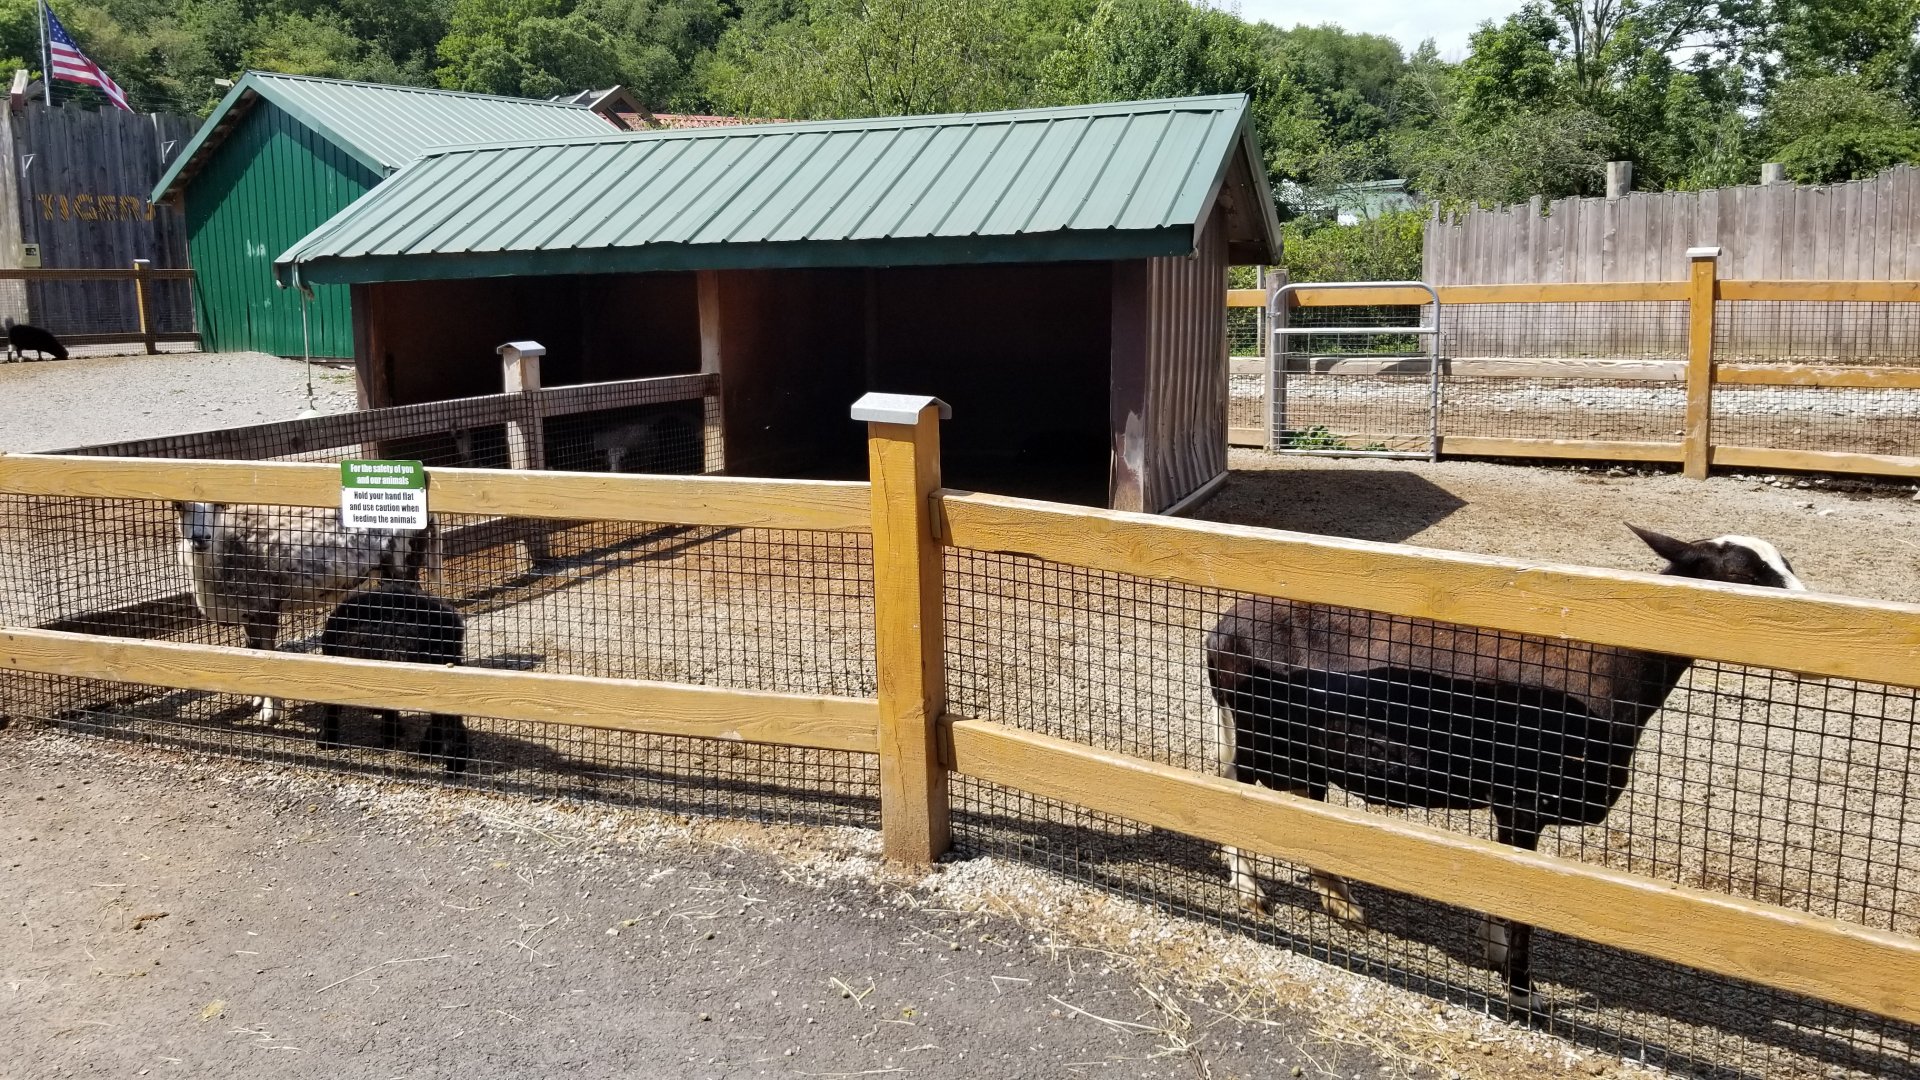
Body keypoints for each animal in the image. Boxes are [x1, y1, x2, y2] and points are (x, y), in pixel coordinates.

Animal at [174, 501, 441, 724]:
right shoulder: (248, 610)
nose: (200, 538)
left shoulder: (266, 604)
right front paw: (257, 698)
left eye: (218, 506)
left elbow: (267, 654)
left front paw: (270, 711)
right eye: (179, 506)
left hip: (402, 565)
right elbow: (253, 649)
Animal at [317, 579, 470, 772]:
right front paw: (392, 735)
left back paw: (454, 761)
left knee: (447, 716)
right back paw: (431, 749)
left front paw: (326, 739)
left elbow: (332, 706)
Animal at [1204, 524, 1806, 1008]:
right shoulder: (1523, 799)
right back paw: (1251, 890)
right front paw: (1521, 992)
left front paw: (1497, 958)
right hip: (1262, 735)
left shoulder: (1510, 803)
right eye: (1743, 574)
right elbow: (1521, 903)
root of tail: (1222, 631)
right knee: (1227, 789)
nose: (1810, 609)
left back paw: (1341, 903)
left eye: (1788, 563)